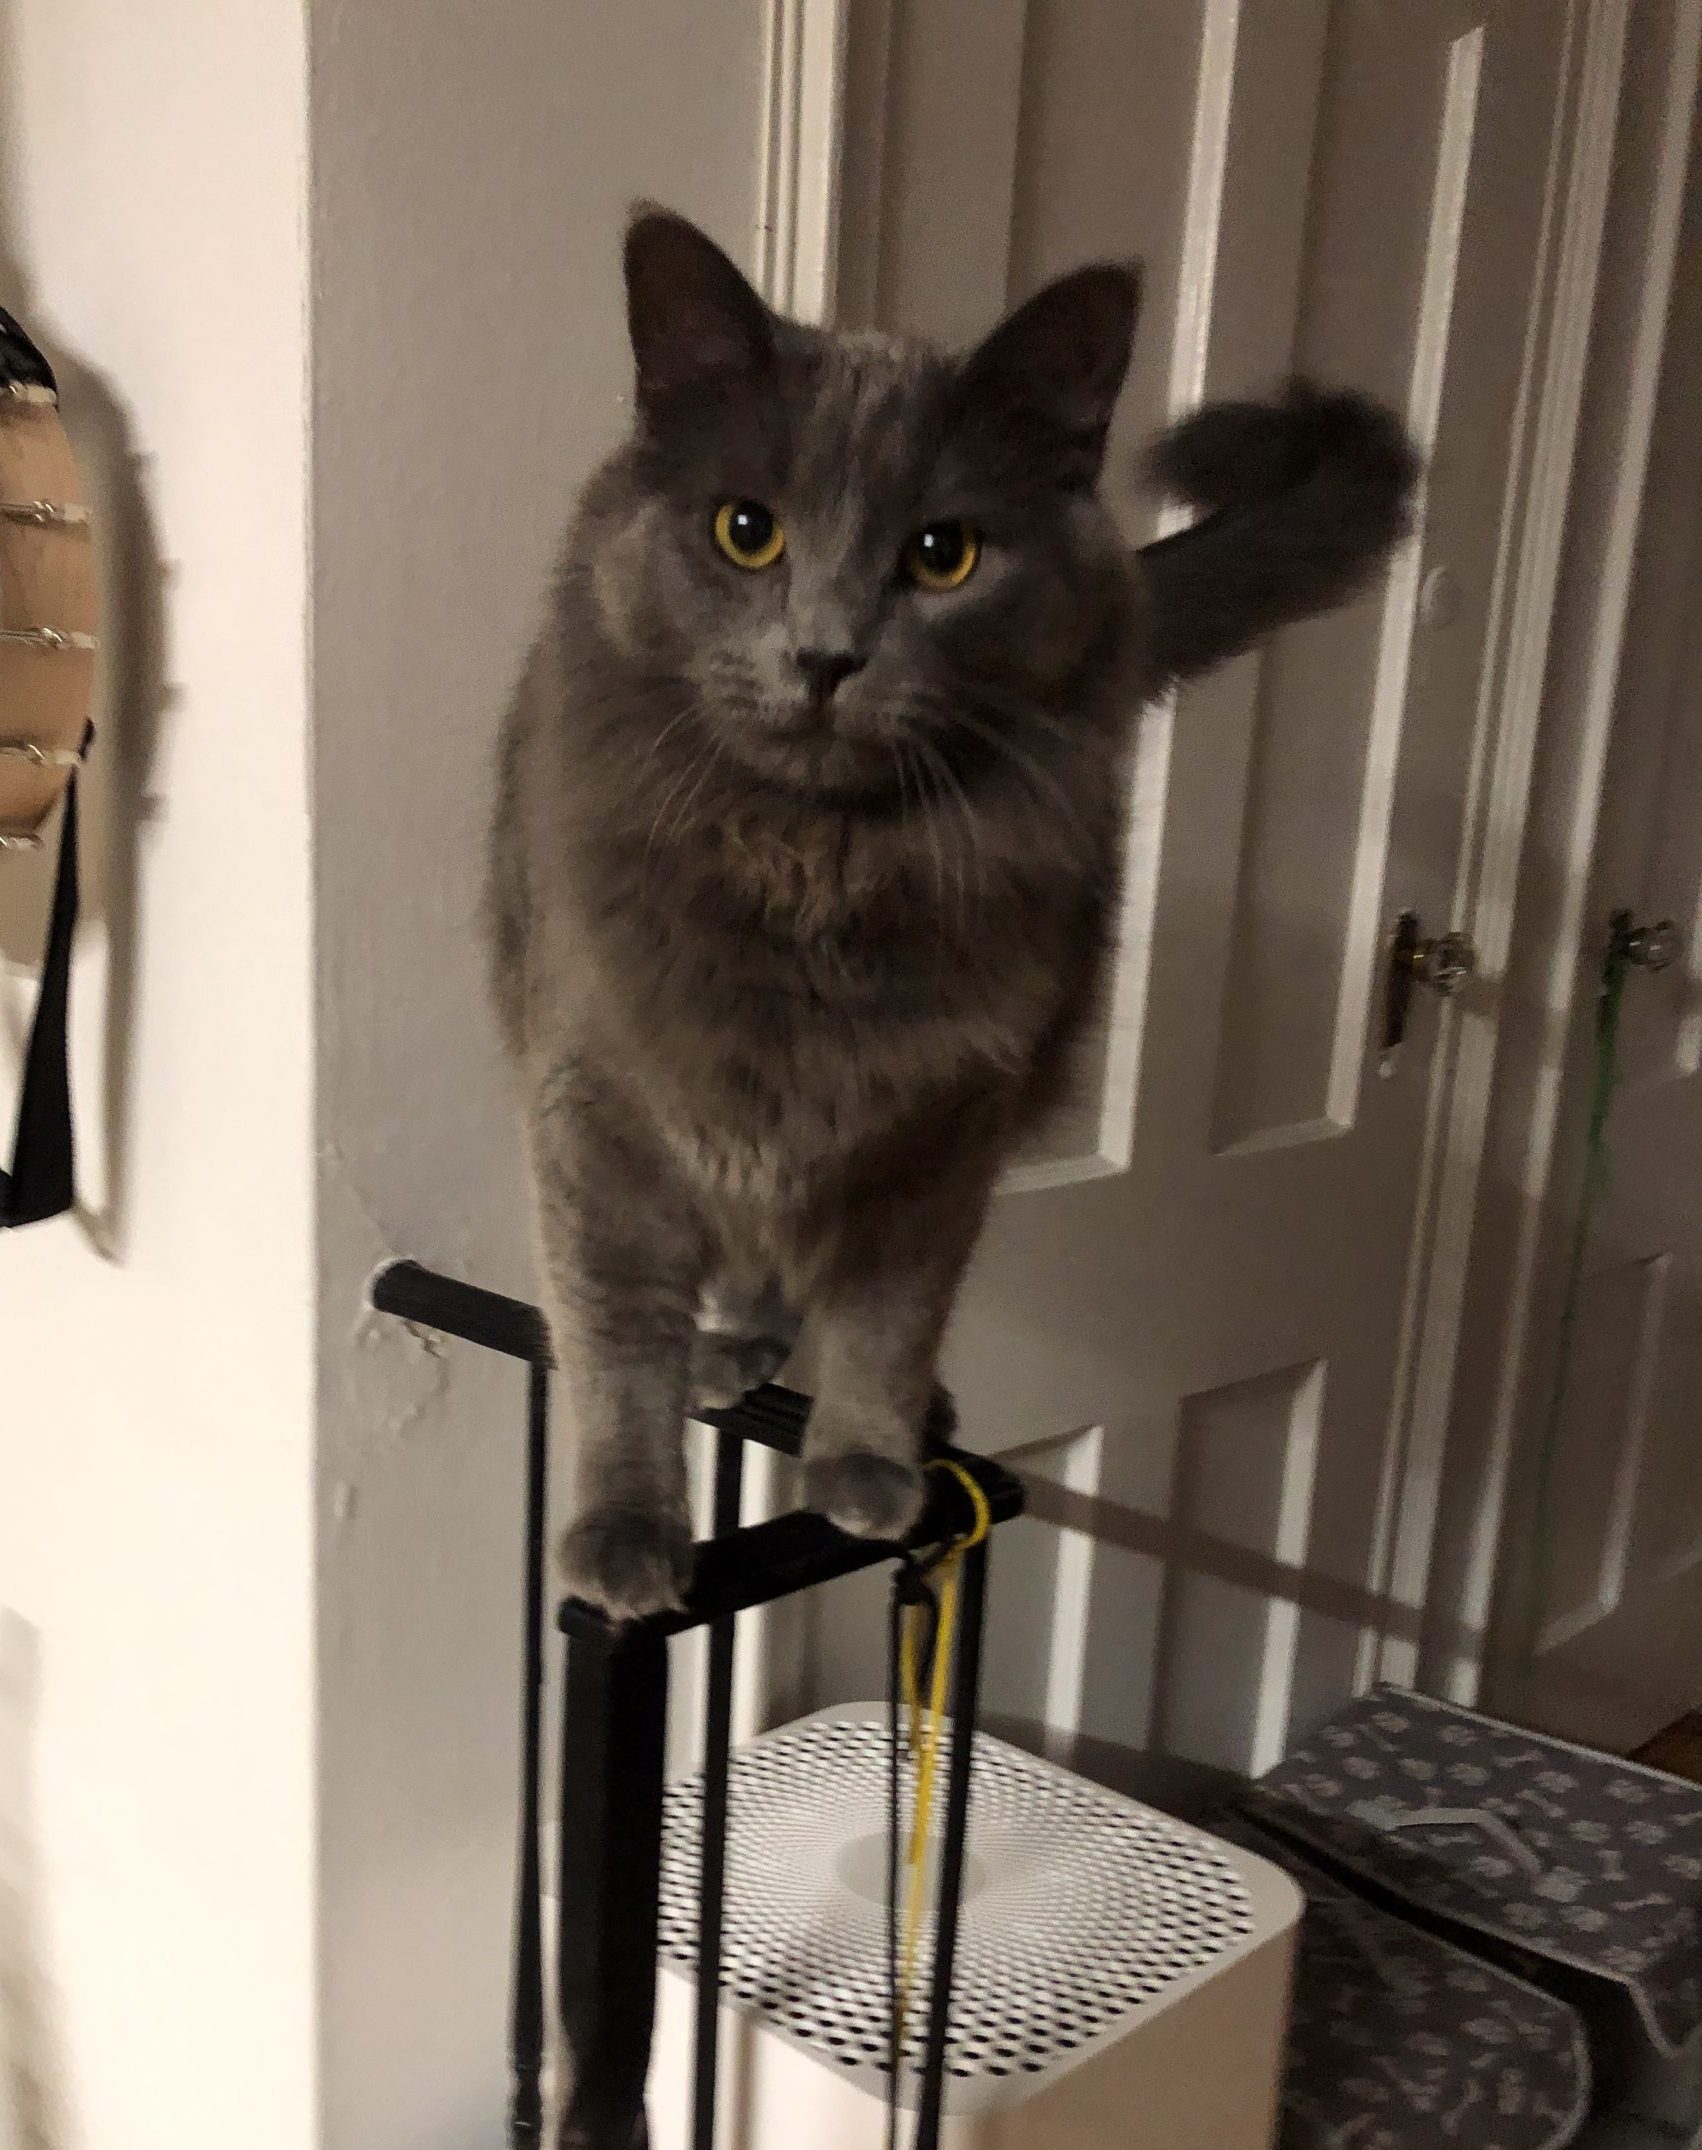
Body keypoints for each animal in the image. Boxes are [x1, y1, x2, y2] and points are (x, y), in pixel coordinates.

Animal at [485, 209, 1418, 1616]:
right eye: (745, 531)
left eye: (943, 554)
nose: (823, 655)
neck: (813, 870)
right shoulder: (595, 1107)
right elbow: (613, 1340)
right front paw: (625, 1534)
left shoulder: (944, 1128)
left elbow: (886, 1314)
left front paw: (869, 1466)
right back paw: (729, 1350)